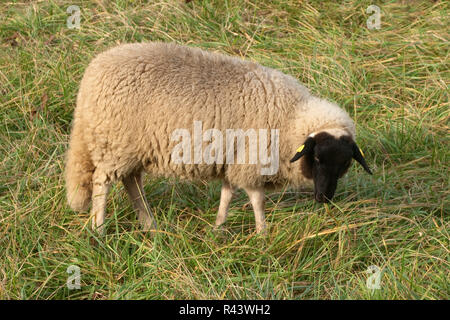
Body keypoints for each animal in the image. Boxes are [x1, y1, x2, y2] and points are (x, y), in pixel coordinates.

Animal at [65, 41, 370, 234]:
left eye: (345, 164)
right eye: (316, 158)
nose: (324, 198)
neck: (291, 117)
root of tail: (93, 72)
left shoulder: (233, 158)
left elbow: (227, 193)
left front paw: (218, 228)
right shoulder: (251, 161)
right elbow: (257, 199)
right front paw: (262, 233)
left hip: (131, 148)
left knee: (132, 182)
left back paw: (149, 224)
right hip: (114, 144)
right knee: (101, 182)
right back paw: (99, 229)